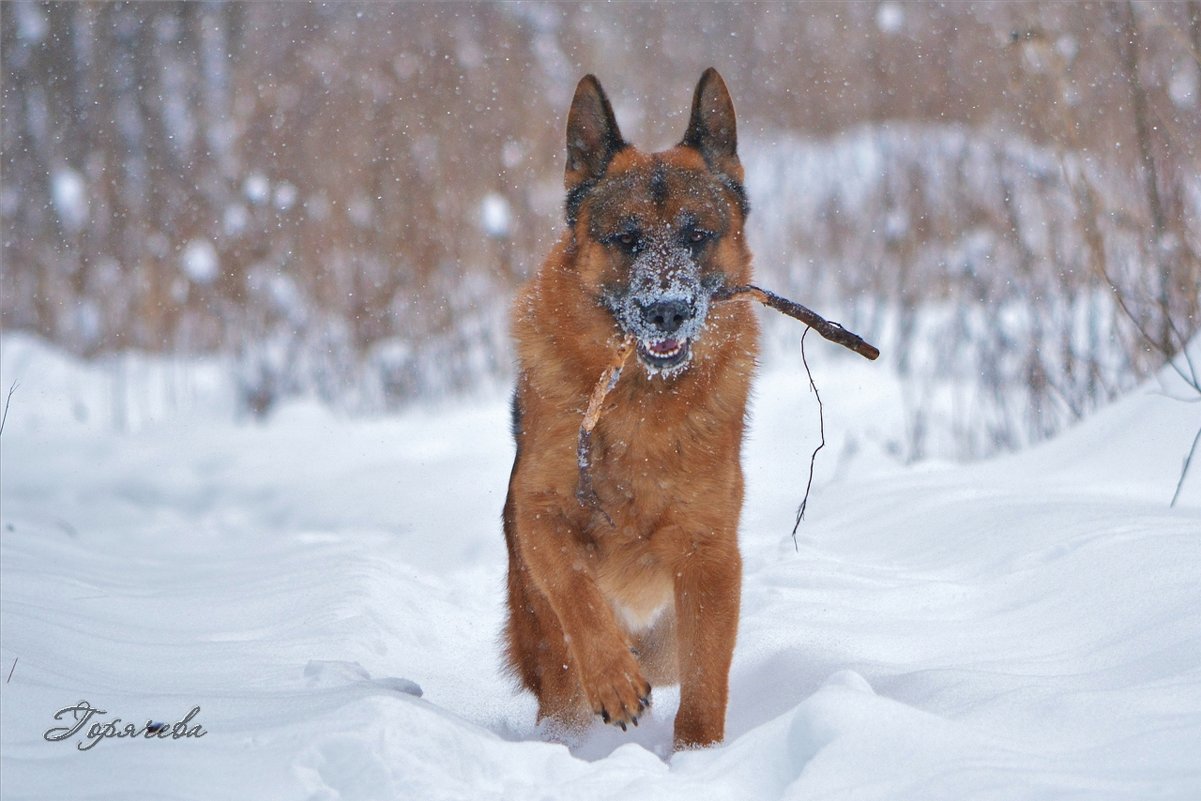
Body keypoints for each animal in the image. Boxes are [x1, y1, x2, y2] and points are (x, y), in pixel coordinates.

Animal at [502, 69, 754, 754]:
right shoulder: (539, 515)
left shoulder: (710, 558)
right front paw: (613, 678)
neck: (642, 403)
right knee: (563, 684)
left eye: (697, 236)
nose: (666, 310)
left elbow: (706, 680)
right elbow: (577, 591)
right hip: (542, 636)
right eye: (627, 239)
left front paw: (698, 757)